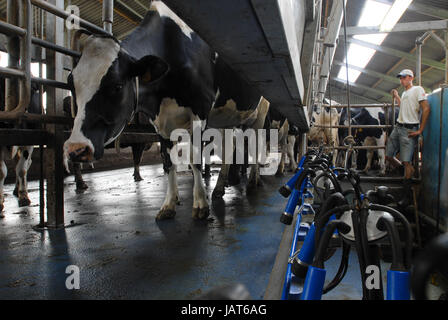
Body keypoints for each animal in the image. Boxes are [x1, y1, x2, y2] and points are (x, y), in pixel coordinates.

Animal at [64, 0, 270, 220]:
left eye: (117, 86)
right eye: (71, 84)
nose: (75, 149)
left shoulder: (200, 110)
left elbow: (194, 158)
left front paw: (200, 204)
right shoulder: (159, 122)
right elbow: (167, 160)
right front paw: (169, 205)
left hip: (260, 115)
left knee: (256, 144)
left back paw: (253, 182)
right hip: (228, 118)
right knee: (230, 149)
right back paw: (219, 188)